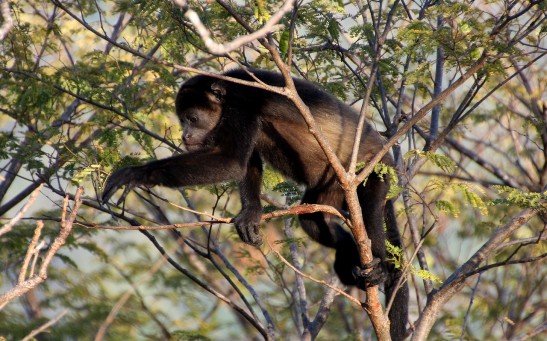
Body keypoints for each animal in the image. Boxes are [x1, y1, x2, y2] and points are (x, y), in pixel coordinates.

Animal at [104, 67, 412, 338]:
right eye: (182, 120)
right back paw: (348, 255)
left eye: (192, 118)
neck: (226, 93)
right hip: (332, 188)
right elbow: (246, 163)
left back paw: (380, 267)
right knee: (312, 220)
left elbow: (230, 161)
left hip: (375, 171)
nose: (185, 135)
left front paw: (138, 173)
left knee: (370, 213)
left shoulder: (242, 106)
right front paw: (250, 214)